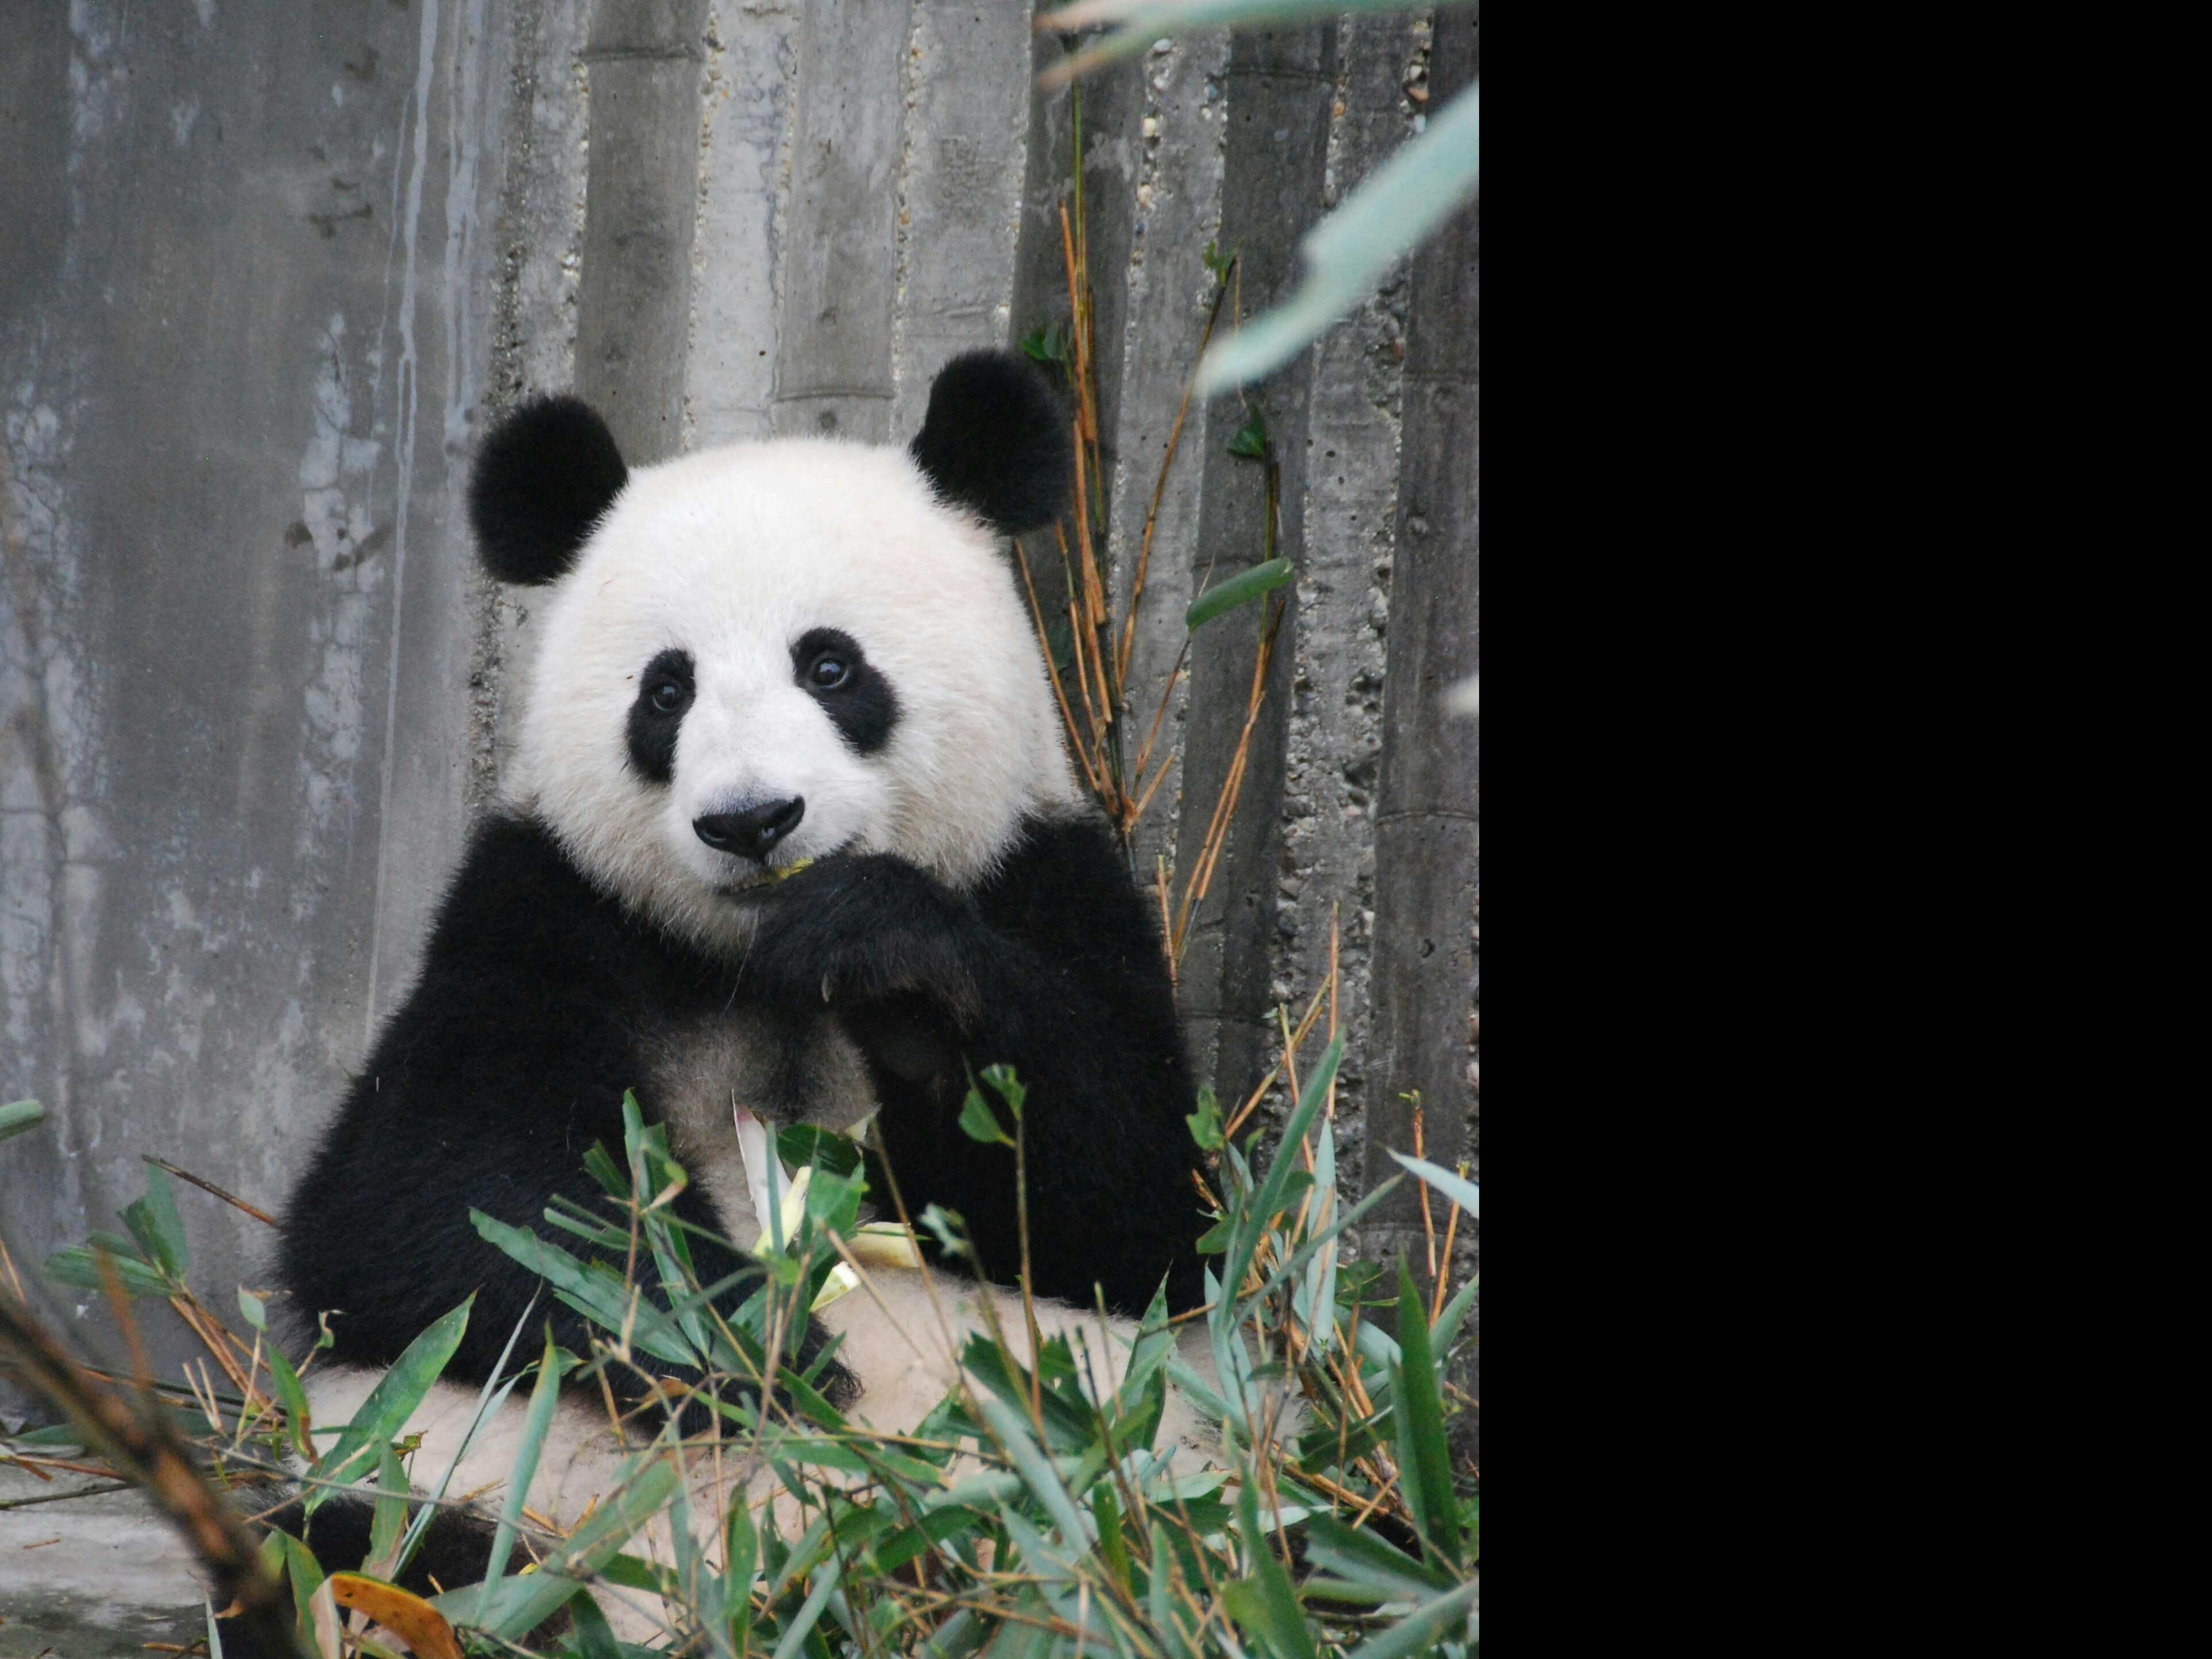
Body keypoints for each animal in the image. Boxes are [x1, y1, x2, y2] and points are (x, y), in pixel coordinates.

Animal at [264, 352, 1215, 1621]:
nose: (753, 819)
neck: (756, 959)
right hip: (438, 1474)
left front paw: (892, 964)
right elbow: (424, 1207)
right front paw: (757, 1344)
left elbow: (1138, 1203)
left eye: (831, 663)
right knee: (354, 1548)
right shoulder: (542, 916)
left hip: (1110, 1494)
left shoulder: (1043, 878)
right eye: (666, 692)